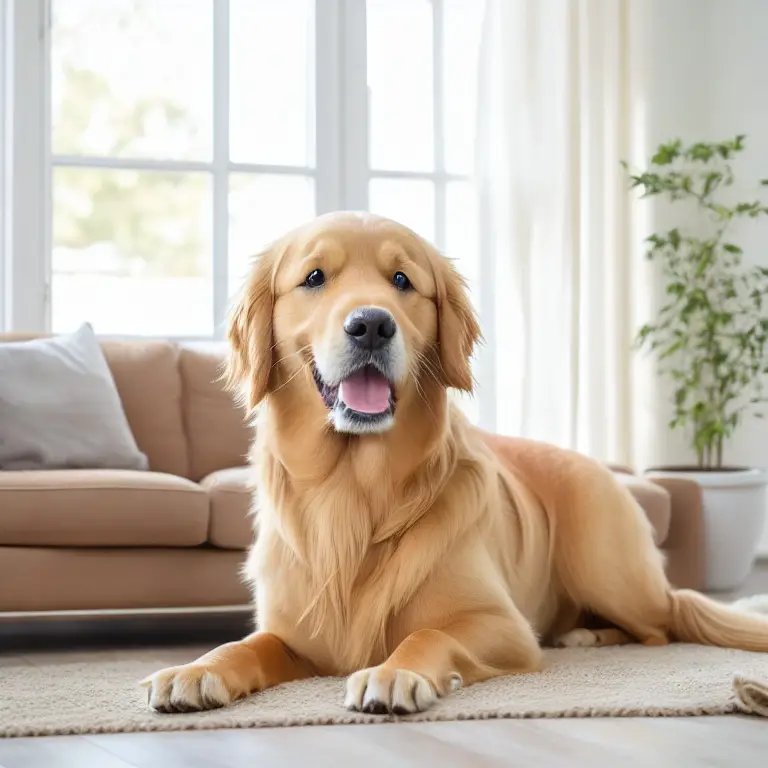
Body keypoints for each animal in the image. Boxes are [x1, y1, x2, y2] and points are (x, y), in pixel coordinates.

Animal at [141, 208, 768, 712]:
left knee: (663, 624)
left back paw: (589, 637)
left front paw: (396, 674)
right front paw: (195, 670)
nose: (371, 324)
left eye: (402, 281)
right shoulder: (293, 634)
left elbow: (428, 635)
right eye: (314, 277)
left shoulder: (503, 625)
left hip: (610, 571)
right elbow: (244, 644)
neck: (355, 492)